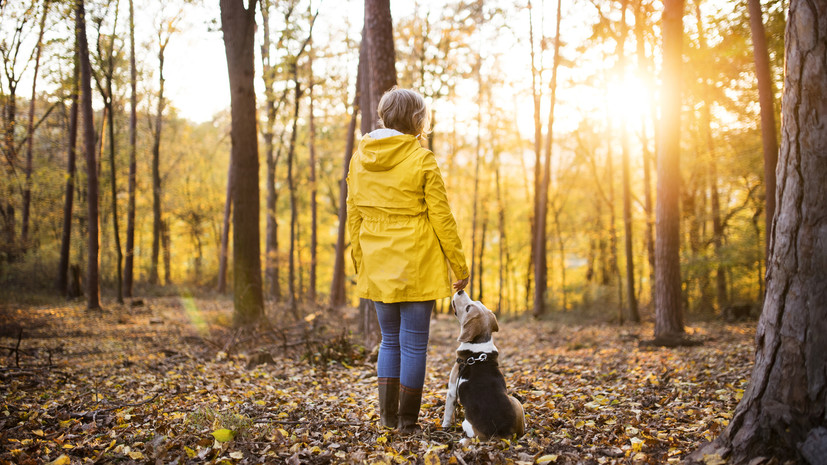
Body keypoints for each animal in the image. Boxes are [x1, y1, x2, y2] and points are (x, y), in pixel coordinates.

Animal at [440, 290, 524, 438]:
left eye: (468, 308)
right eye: (478, 302)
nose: (460, 290)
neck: (479, 344)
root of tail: (503, 432)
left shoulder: (451, 391)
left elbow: (448, 413)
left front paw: (445, 427)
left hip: (467, 425)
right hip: (517, 402)